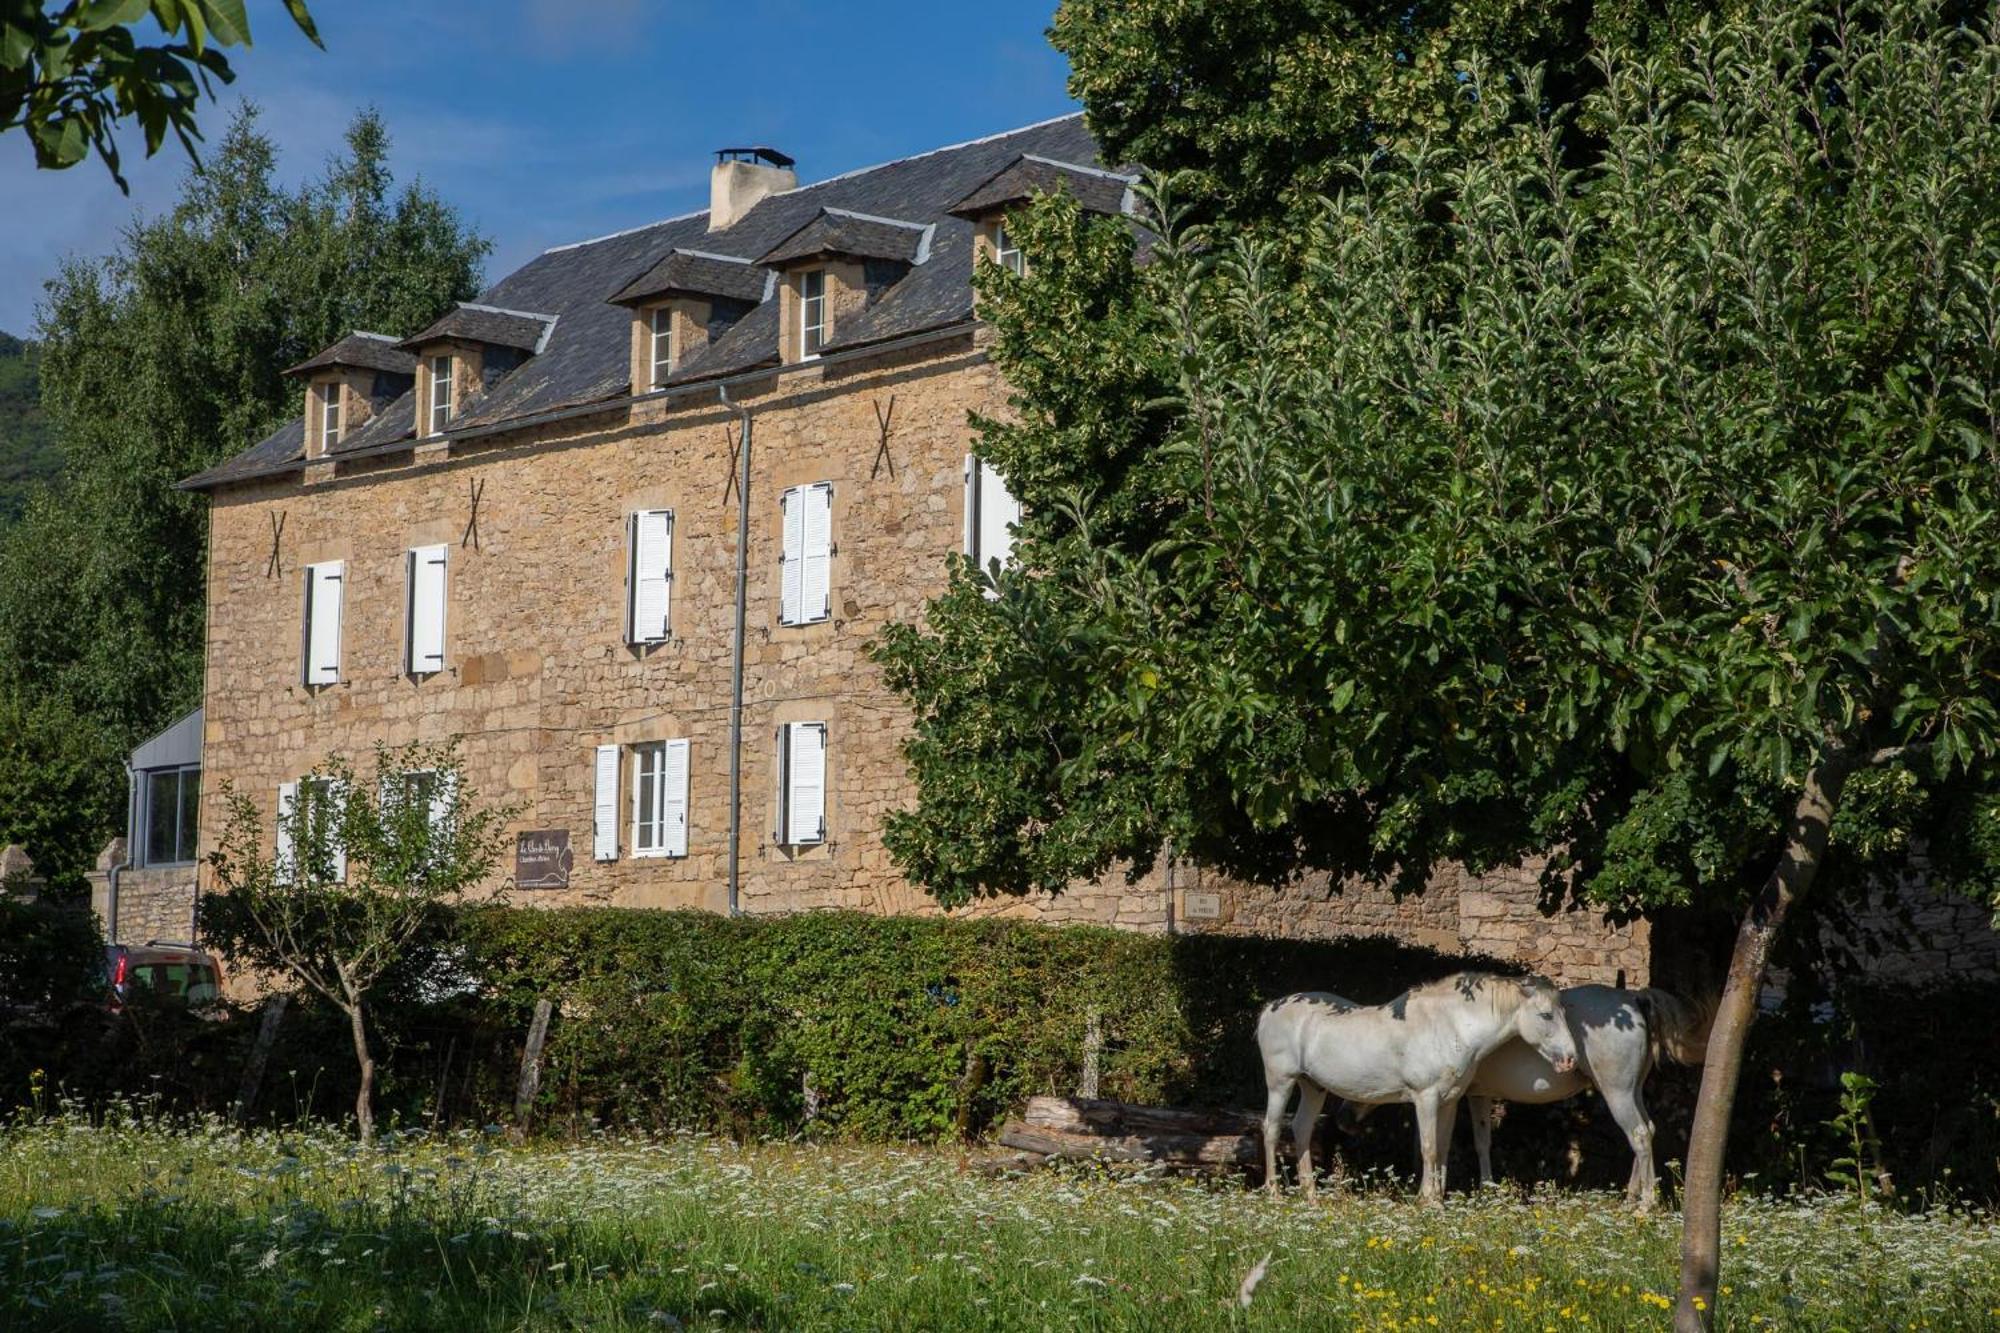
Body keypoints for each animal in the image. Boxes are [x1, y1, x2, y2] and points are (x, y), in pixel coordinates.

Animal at [1264, 972, 1576, 1200]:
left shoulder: (1449, 1101)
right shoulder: (1426, 1098)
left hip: (1313, 1087)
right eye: (1546, 1015)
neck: (1450, 1027)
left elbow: (1443, 1147)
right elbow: (1429, 1148)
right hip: (1281, 1083)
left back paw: (1311, 1196)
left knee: (1302, 1129)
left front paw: (1437, 1199)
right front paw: (1427, 1201)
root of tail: (1270, 1008)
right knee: (1271, 1129)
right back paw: (1275, 1194)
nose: (1570, 1059)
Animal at [1344, 976, 1704, 1200]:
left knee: (1639, 1135)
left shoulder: (1455, 1096)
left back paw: (1645, 1204)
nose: (1343, 1119)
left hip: (1617, 1092)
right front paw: (1484, 1188)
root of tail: (1634, 998)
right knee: (1648, 1130)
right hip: (1632, 1090)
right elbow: (1481, 1141)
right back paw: (1632, 1196)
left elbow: (1437, 1142)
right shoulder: (1476, 1094)